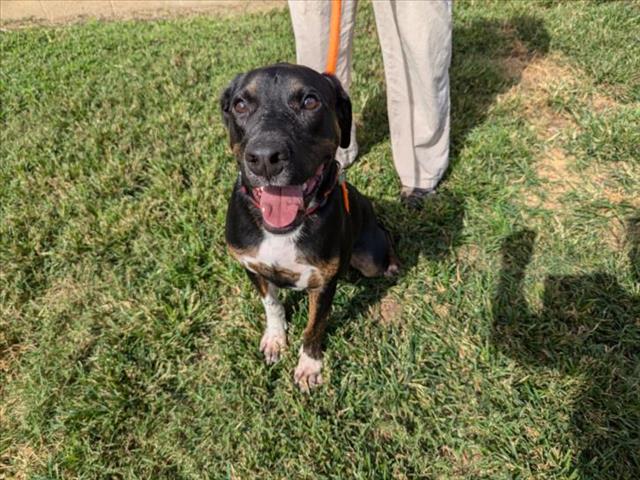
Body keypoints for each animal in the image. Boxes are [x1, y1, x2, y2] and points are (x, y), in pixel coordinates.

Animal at [222, 63, 398, 392]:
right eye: (240, 105)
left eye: (310, 101)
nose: (265, 158)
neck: (283, 231)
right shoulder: (252, 266)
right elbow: (272, 305)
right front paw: (275, 339)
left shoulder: (324, 283)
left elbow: (315, 326)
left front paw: (309, 366)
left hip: (368, 257)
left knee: (385, 237)